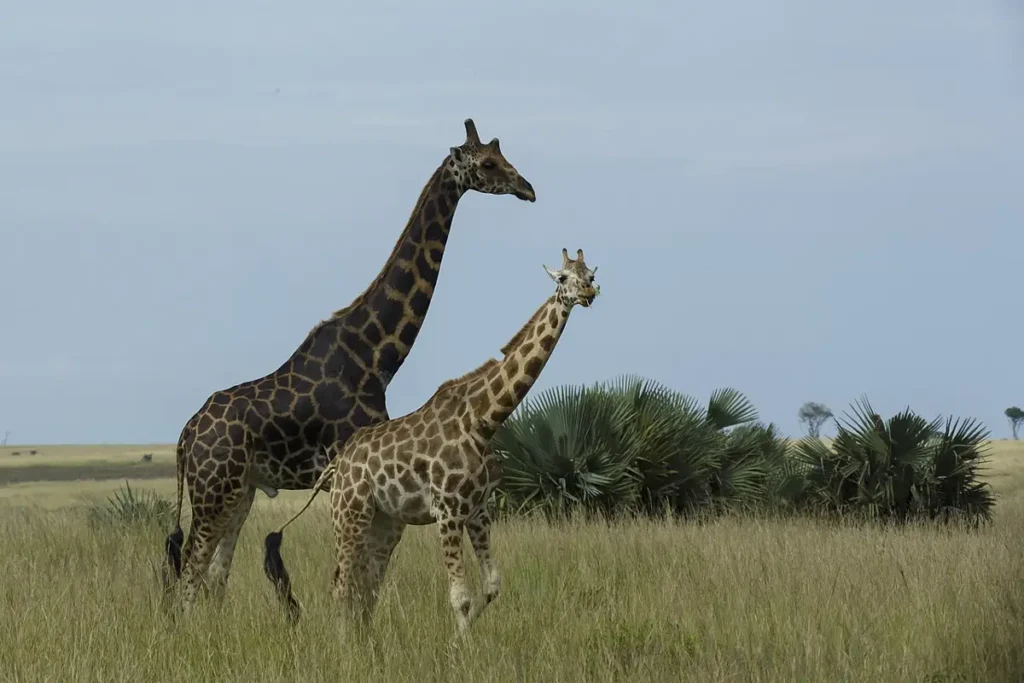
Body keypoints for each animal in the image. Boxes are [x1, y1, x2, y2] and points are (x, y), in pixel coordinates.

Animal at [162, 118, 537, 612]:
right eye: (489, 163)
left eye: (503, 155)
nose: (528, 188)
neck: (376, 356)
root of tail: (186, 436)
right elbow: (357, 577)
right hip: (213, 489)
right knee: (189, 571)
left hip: (240, 489)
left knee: (213, 574)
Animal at [265, 248, 599, 630]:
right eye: (564, 278)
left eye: (590, 274)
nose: (588, 292)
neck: (484, 419)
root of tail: (336, 466)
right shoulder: (448, 510)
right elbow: (460, 597)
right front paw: (460, 645)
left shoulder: (478, 510)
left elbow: (492, 585)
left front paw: (465, 637)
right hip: (349, 512)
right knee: (341, 583)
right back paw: (345, 641)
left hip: (384, 520)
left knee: (366, 583)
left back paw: (367, 639)